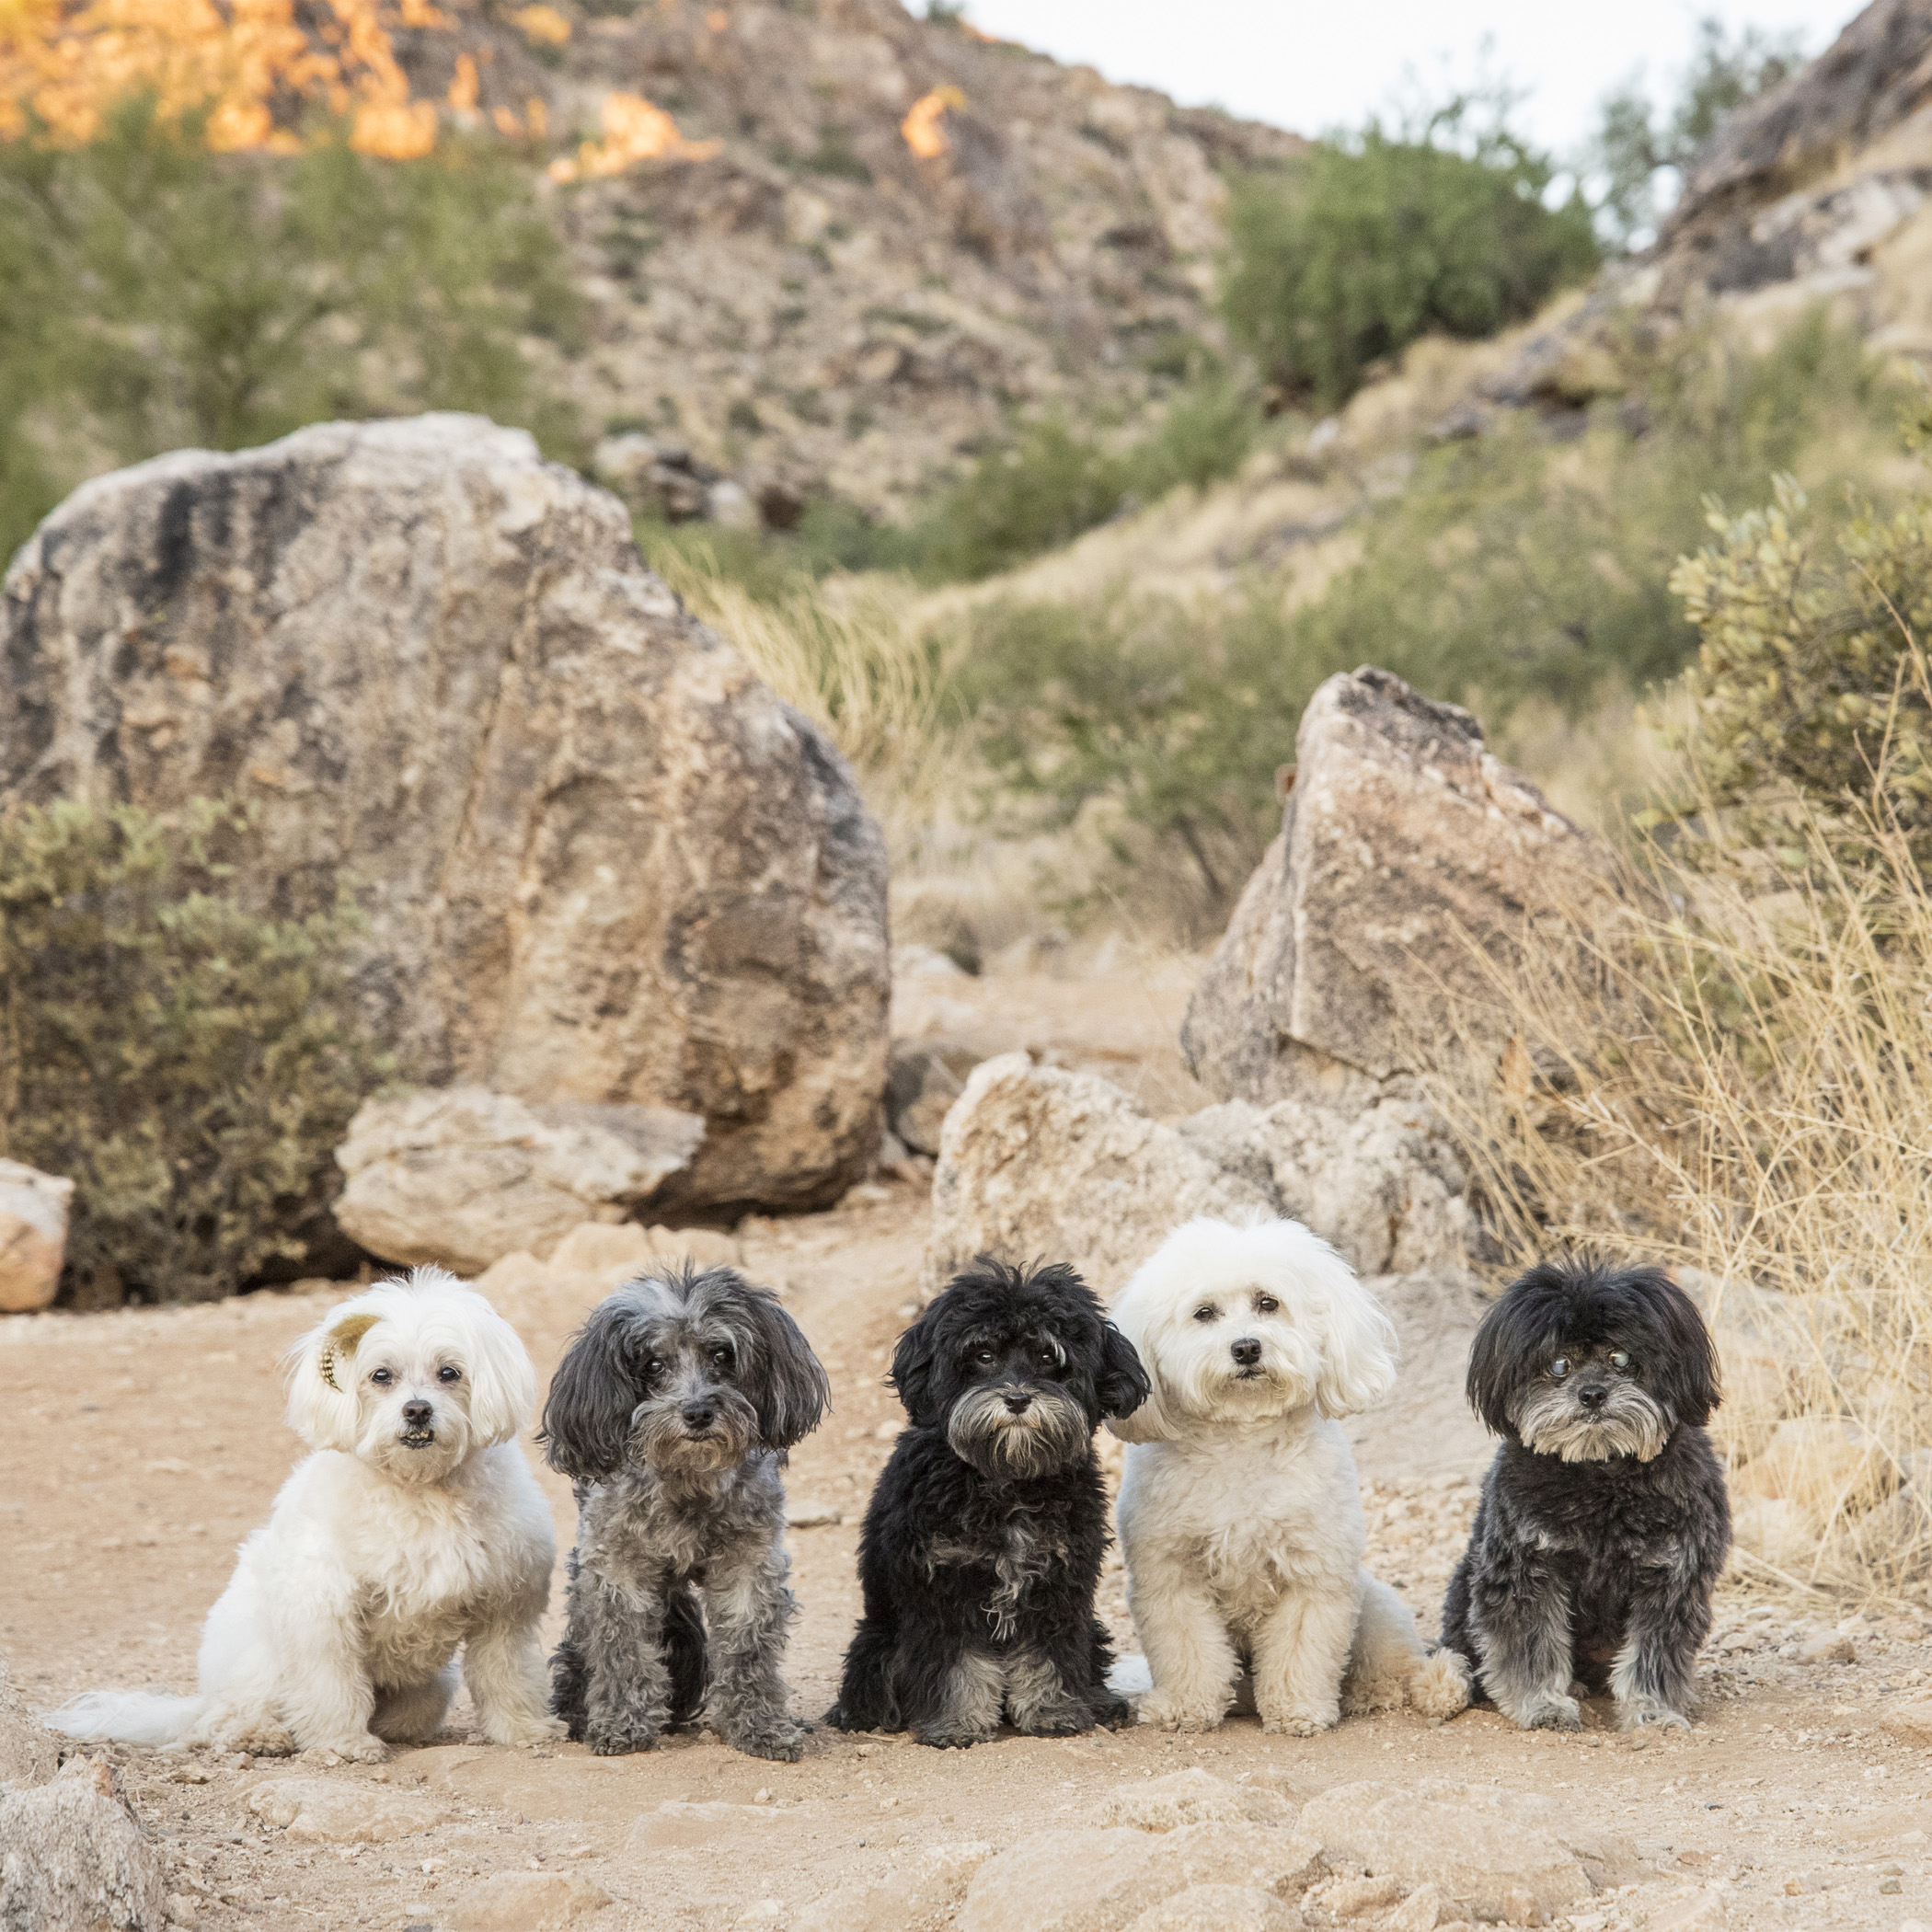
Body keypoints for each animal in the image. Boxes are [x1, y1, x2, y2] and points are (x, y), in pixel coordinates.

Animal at [49, 1267, 564, 1769]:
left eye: (449, 1372)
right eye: (381, 1376)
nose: (417, 1410)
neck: (418, 1488)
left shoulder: (504, 1610)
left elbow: (507, 1674)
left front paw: (523, 1729)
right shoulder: (323, 1608)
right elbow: (330, 1684)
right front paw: (343, 1743)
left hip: (431, 1688)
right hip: (258, 1659)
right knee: (224, 1717)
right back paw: (258, 1734)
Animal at [536, 1259, 830, 1762]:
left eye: (722, 1354)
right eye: (653, 1364)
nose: (696, 1413)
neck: (688, 1477)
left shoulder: (749, 1563)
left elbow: (749, 1650)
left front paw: (762, 1727)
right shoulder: (618, 1567)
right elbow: (623, 1648)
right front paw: (623, 1724)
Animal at [826, 1259, 1144, 1746]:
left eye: (1048, 1357)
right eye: (983, 1356)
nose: (1016, 1398)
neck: (1006, 1481)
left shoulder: (1059, 1585)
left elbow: (1050, 1655)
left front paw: (1053, 1712)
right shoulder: (944, 1587)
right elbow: (958, 1666)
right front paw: (956, 1723)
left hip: (1091, 1628)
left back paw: (1101, 1702)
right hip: (876, 1643)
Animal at [1112, 1213, 1467, 1731]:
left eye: (1268, 1303)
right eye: (1204, 1313)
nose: (1246, 1348)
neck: (1242, 1438)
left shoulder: (1313, 1574)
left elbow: (1300, 1650)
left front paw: (1298, 1709)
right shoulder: (1170, 1575)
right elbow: (1189, 1649)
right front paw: (1184, 1706)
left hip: (1374, 1607)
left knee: (1399, 1666)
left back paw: (1417, 1689)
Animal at [1437, 1251, 1738, 1738]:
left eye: (1622, 1357)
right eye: (1559, 1364)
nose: (1592, 1394)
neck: (1600, 1475)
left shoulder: (1673, 1578)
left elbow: (1653, 1656)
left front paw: (1653, 1712)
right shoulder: (1526, 1570)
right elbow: (1531, 1644)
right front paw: (1543, 1705)